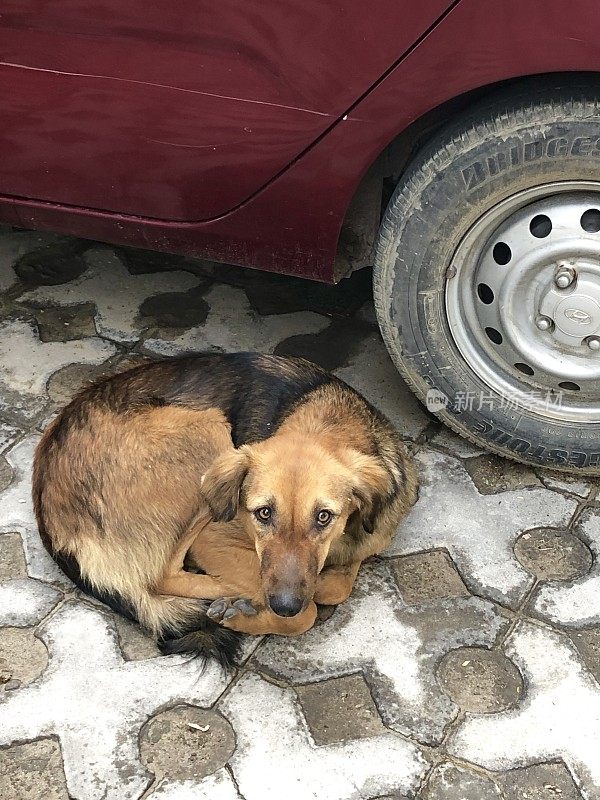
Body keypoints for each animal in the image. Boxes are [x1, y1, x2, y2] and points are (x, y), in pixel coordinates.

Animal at [34, 354, 418, 664]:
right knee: (162, 578)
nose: (284, 604)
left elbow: (338, 585)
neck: (333, 420)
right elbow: (305, 611)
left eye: (324, 517)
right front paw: (251, 612)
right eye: (263, 513)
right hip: (206, 434)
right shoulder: (215, 538)